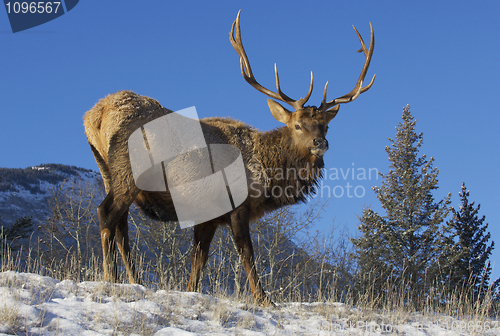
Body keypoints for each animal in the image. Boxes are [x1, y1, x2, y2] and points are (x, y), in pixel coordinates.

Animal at [84, 10, 376, 306]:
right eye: (297, 125)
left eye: (325, 126)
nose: (321, 143)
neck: (267, 177)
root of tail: (95, 115)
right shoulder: (237, 205)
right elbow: (247, 253)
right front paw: (263, 298)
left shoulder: (208, 216)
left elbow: (198, 261)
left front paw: (192, 290)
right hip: (127, 171)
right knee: (106, 213)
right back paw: (110, 278)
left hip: (107, 171)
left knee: (122, 226)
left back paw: (134, 280)